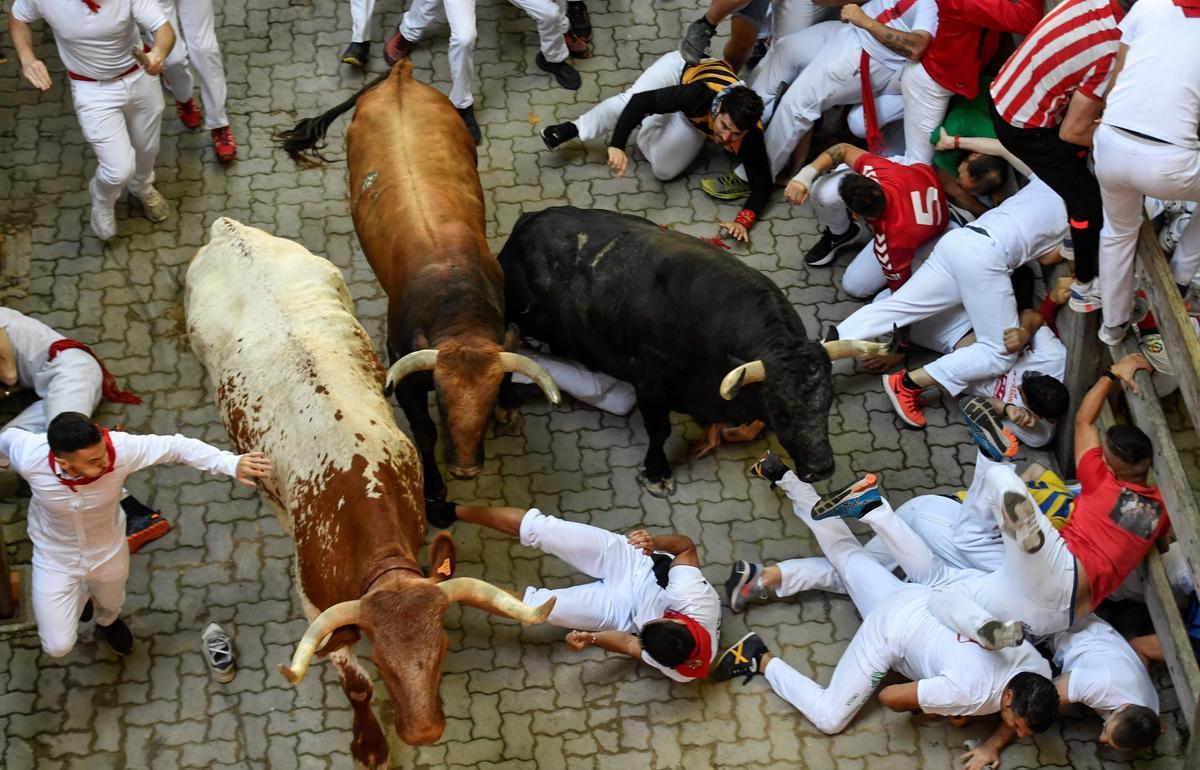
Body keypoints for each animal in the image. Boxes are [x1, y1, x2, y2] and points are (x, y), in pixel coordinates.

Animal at [277, 59, 561, 503]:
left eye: (486, 404)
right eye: (441, 402)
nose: (465, 469)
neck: (455, 296)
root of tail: (400, 75)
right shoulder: (405, 381)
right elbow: (424, 433)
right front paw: (434, 489)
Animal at [501, 205, 849, 491]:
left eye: (828, 401)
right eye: (780, 410)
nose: (821, 468)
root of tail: (529, 220)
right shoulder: (650, 385)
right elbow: (660, 431)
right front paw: (657, 474)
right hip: (518, 312)